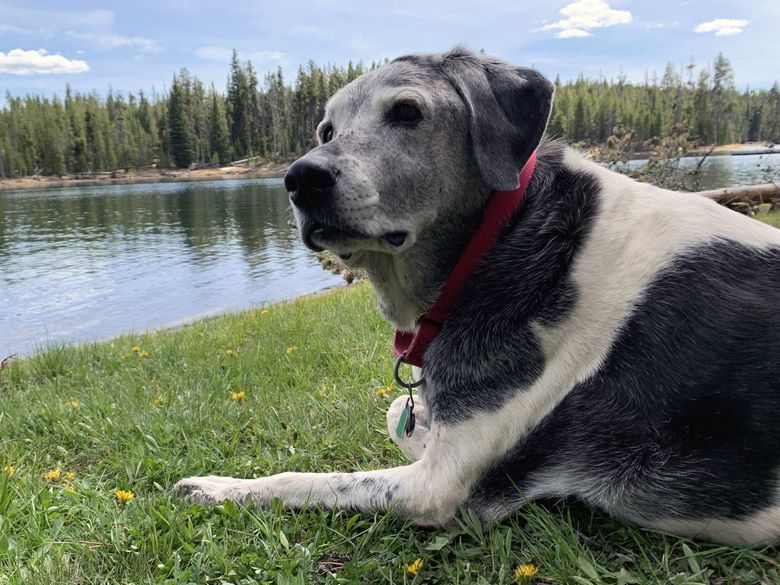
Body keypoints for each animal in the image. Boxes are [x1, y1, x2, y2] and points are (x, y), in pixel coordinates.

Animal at [175, 48, 780, 544]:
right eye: (326, 130)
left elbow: (303, 480)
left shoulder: (437, 487)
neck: (501, 238)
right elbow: (399, 412)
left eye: (407, 112)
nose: (301, 178)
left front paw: (215, 487)